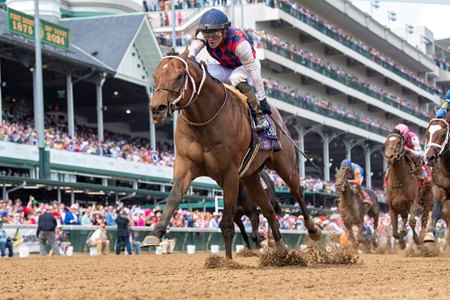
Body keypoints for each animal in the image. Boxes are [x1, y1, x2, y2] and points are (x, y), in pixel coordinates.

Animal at [146, 49, 322, 258]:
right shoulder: (185, 164)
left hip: (285, 165)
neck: (204, 119)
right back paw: (280, 249)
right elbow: (173, 198)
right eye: (155, 76)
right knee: (269, 210)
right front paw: (155, 233)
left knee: (297, 192)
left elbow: (228, 225)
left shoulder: (230, 172)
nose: (157, 109)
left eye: (179, 76)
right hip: (251, 177)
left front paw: (227, 261)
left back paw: (313, 229)